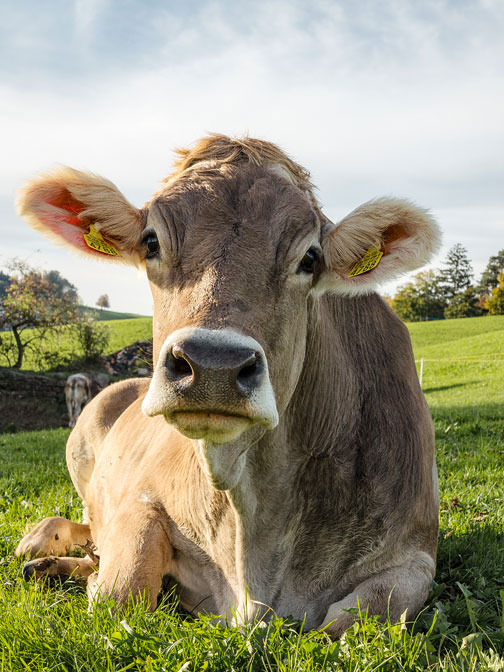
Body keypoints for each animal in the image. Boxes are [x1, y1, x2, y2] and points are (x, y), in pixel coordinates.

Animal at [14, 135, 440, 638]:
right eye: (151, 241)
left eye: (310, 257)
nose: (213, 365)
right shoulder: (141, 497)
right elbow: (122, 593)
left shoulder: (414, 554)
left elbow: (354, 617)